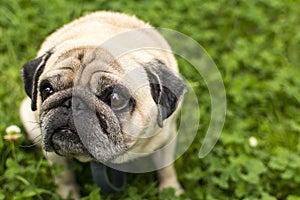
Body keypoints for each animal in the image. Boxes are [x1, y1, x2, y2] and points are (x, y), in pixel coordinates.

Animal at [19, 11, 185, 198]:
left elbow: (166, 169)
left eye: (116, 98)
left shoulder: (166, 139)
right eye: (47, 90)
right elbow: (64, 177)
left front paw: (171, 191)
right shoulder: (55, 157)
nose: (72, 103)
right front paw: (68, 194)